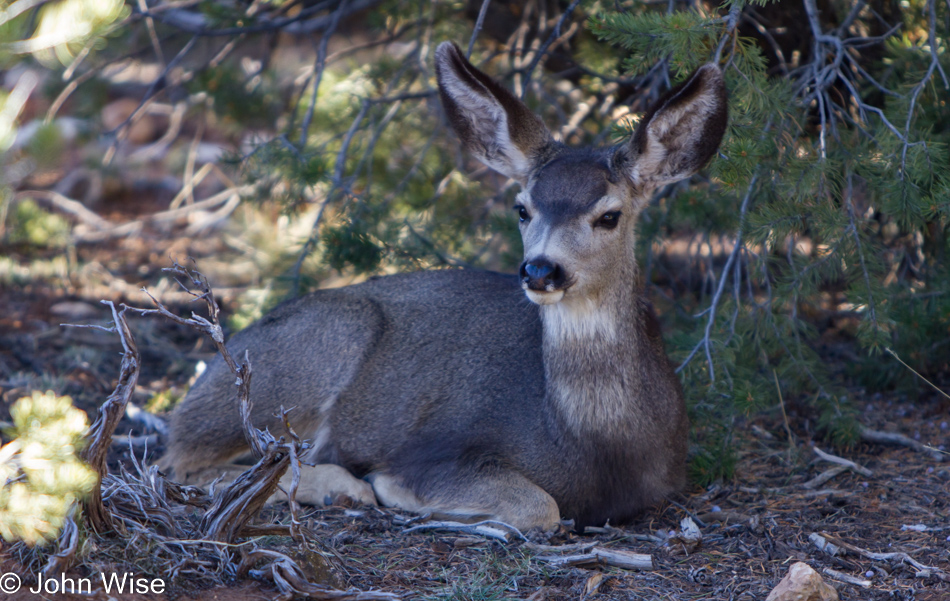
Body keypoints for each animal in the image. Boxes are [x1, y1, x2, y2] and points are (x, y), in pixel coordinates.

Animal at [162, 42, 728, 528]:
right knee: (178, 463)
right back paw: (340, 486)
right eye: (522, 208)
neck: (595, 443)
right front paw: (392, 490)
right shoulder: (439, 447)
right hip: (321, 344)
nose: (540, 270)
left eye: (610, 215)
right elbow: (540, 506)